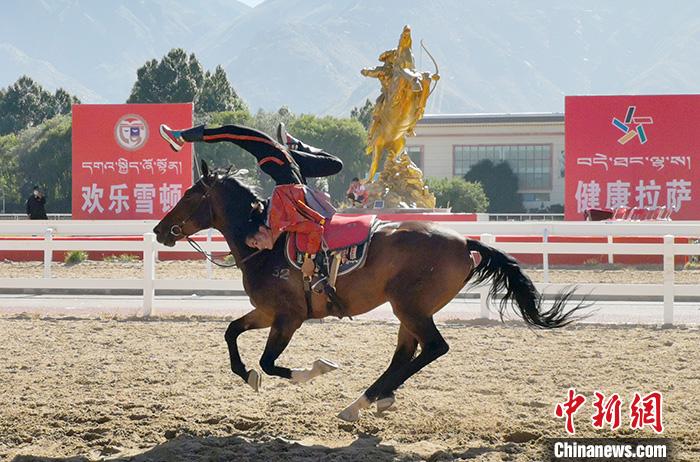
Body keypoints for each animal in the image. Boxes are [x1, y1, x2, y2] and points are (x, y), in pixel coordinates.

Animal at [154, 162, 584, 422]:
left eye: (190, 194)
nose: (159, 230)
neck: (268, 243)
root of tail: (465, 242)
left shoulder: (289, 318)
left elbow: (271, 362)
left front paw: (314, 369)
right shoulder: (266, 312)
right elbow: (231, 333)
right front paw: (246, 375)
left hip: (410, 308)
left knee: (433, 348)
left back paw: (363, 400)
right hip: (409, 312)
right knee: (407, 354)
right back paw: (373, 398)